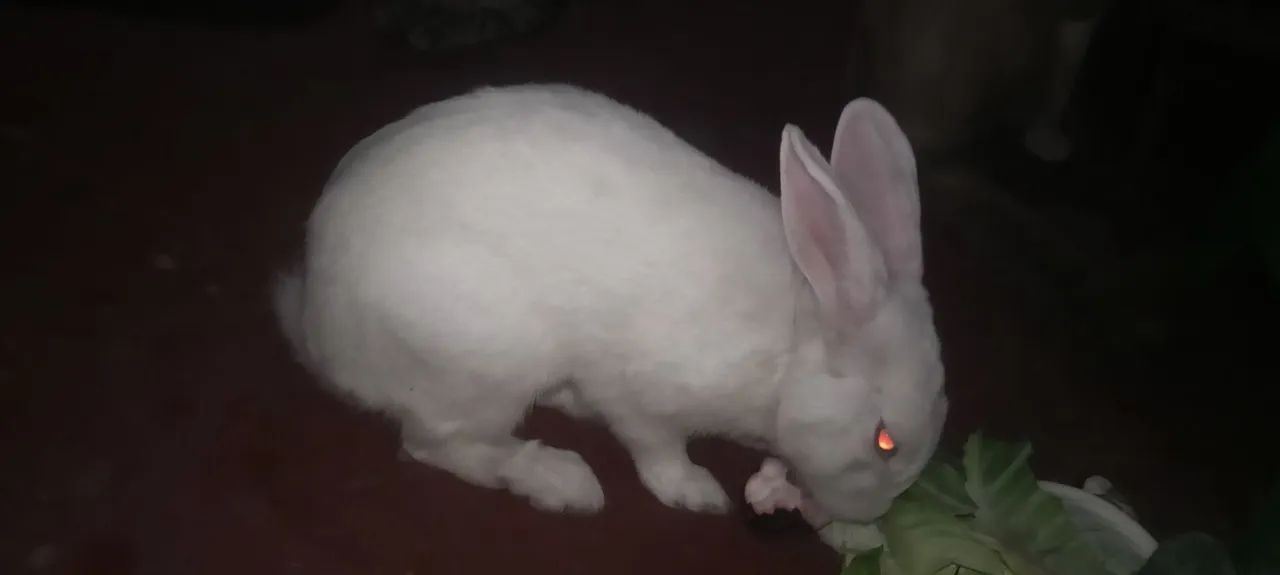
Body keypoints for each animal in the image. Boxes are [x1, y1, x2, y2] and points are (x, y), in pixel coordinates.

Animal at [272, 83, 948, 521]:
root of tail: (317, 323)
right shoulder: (639, 391)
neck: (789, 349)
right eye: (883, 443)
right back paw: (562, 482)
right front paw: (697, 492)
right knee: (437, 443)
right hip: (483, 364)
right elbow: (655, 448)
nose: (862, 520)